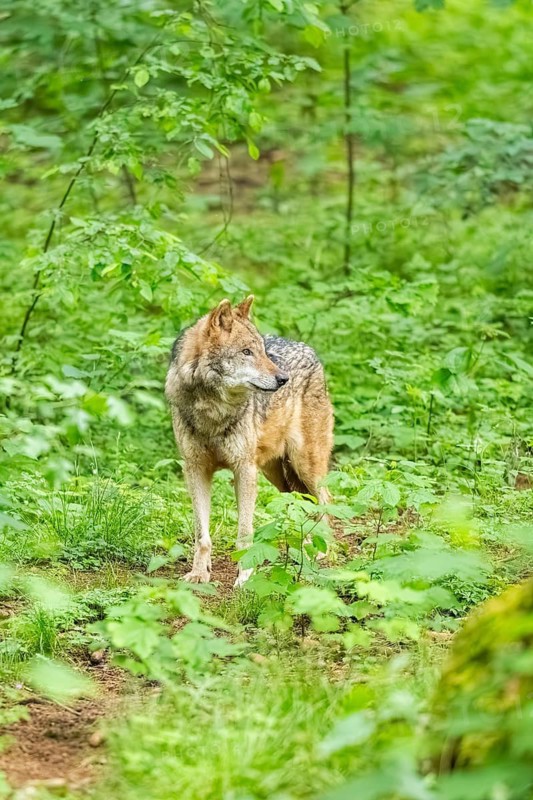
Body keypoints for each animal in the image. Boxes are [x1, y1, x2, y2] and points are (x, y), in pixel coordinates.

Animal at [165, 295, 334, 586]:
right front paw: (199, 574)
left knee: (327, 500)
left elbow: (244, 533)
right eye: (246, 352)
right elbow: (201, 535)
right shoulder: (195, 469)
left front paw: (245, 576)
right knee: (301, 504)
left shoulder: (243, 469)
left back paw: (322, 552)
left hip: (305, 466)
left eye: (262, 351)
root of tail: (310, 350)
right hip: (276, 475)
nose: (283, 379)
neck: (213, 410)